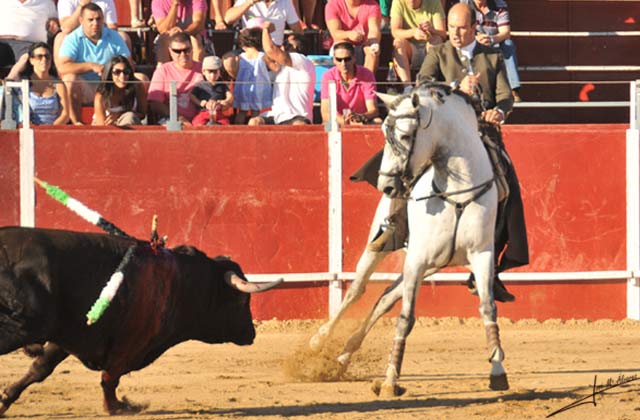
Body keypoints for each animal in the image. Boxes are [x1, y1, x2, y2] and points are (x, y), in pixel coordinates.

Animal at [0, 226, 272, 414]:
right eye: (241, 301)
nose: (251, 334)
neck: (184, 283)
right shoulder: (131, 341)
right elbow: (110, 378)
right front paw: (117, 408)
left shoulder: (71, 334)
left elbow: (41, 368)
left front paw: (6, 399)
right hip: (24, 326)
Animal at [310, 83, 510, 398]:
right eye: (384, 134)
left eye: (404, 136)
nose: (386, 185)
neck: (457, 192)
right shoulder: (417, 258)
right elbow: (406, 318)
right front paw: (391, 380)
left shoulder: (481, 255)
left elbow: (488, 308)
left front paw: (498, 370)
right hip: (382, 247)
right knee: (356, 289)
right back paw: (320, 340)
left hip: (434, 264)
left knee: (385, 298)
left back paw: (343, 355)